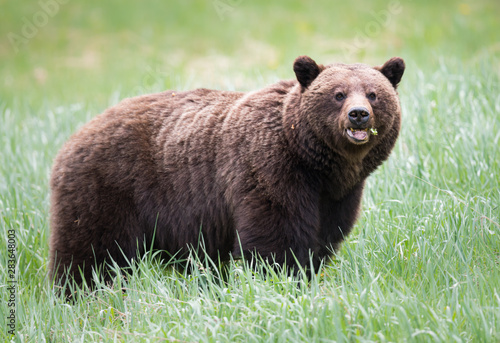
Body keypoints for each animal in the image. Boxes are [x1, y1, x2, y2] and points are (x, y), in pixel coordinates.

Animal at [48, 55, 404, 288]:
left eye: (374, 94)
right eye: (338, 94)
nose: (358, 114)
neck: (316, 163)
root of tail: (72, 138)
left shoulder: (337, 195)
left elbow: (323, 237)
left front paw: (307, 275)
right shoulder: (270, 170)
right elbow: (275, 237)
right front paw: (277, 280)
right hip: (107, 187)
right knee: (92, 253)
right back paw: (77, 293)